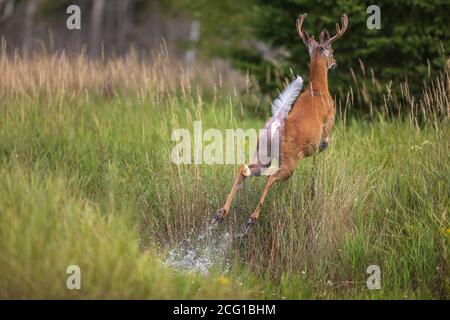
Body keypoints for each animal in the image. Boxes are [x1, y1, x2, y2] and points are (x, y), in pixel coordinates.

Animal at [211, 13, 348, 234]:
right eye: (333, 51)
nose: (334, 62)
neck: (317, 90)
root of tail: (275, 124)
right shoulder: (328, 124)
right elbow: (324, 145)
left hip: (263, 154)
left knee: (244, 169)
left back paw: (220, 214)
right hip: (289, 160)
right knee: (270, 177)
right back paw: (251, 219)